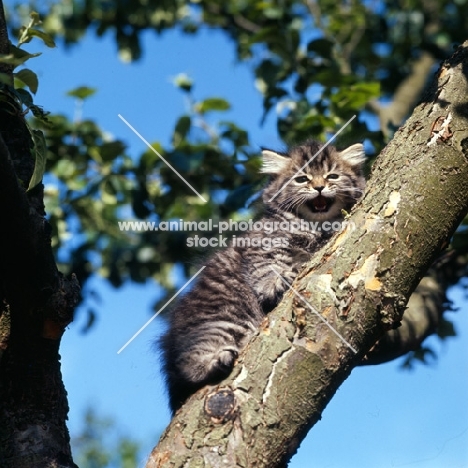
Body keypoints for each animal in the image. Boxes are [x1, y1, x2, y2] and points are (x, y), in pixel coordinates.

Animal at [161, 140, 366, 414]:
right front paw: (276, 283)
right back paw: (215, 361)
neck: (313, 226)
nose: (319, 186)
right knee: (188, 364)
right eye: (302, 179)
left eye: (332, 175)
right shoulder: (261, 247)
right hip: (223, 320)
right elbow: (267, 268)